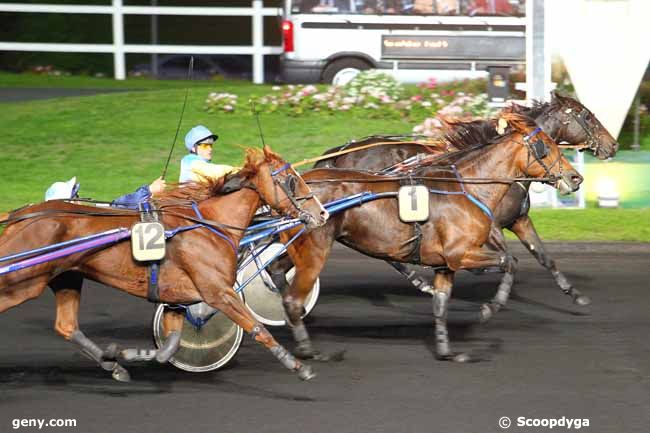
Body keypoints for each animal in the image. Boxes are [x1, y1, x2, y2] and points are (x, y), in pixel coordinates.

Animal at [0, 147, 326, 380]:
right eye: (292, 180)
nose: (321, 212)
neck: (209, 225)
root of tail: (20, 216)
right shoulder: (218, 292)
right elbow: (257, 327)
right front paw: (299, 366)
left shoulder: (178, 299)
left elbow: (168, 348)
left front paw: (121, 355)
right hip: (22, 283)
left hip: (66, 277)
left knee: (67, 326)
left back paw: (113, 367)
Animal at [274, 112, 584, 362]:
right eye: (545, 148)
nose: (576, 178)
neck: (467, 188)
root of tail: (299, 183)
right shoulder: (460, 254)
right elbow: (509, 261)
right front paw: (490, 308)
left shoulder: (445, 265)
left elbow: (441, 305)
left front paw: (446, 350)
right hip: (315, 247)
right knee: (292, 294)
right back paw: (308, 349)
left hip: (296, 246)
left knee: (277, 272)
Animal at [306, 93, 616, 318]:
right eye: (587, 116)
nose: (612, 145)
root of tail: (337, 154)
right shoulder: (489, 223)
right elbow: (503, 255)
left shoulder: (518, 219)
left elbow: (544, 256)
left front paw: (575, 294)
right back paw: (422, 281)